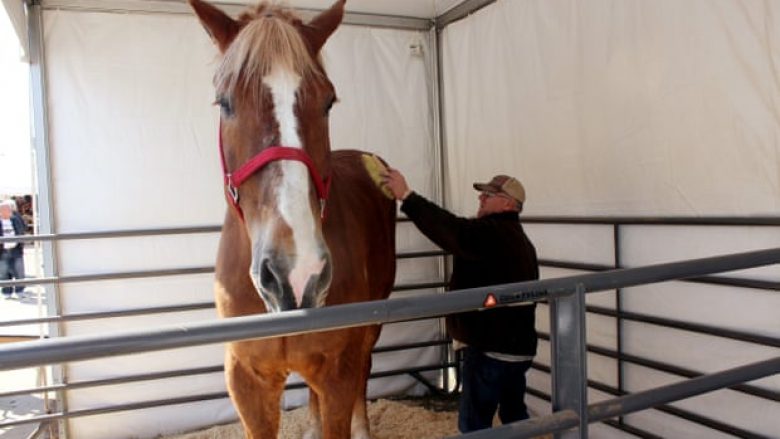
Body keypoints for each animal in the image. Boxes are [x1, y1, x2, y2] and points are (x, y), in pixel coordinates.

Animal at [187, 0, 396, 439]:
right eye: (224, 102)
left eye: (328, 101)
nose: (296, 274)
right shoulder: (247, 382)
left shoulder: (339, 373)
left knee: (366, 370)